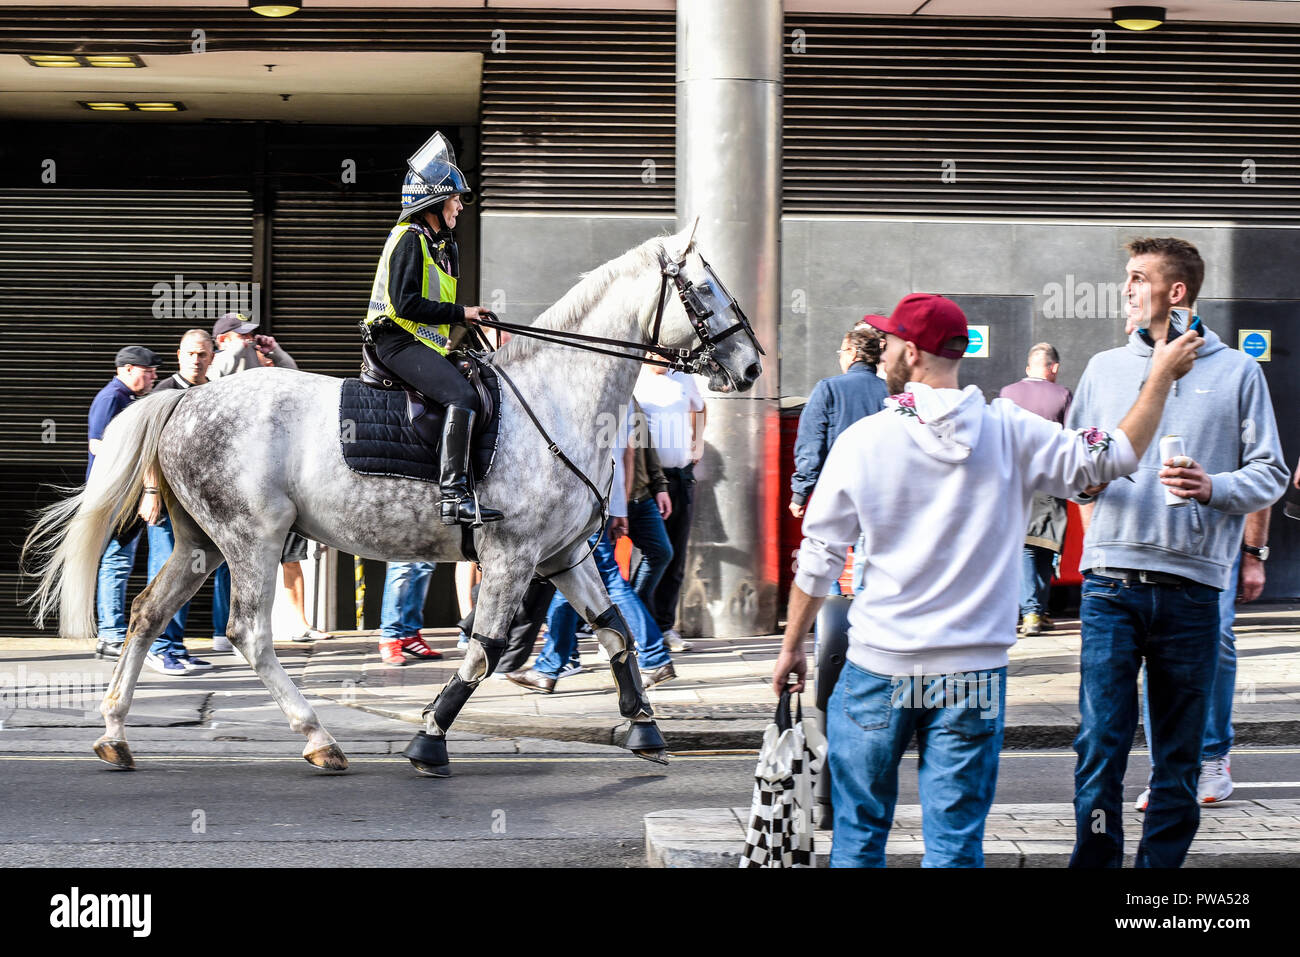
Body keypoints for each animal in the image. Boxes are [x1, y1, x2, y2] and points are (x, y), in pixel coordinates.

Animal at [25, 226, 764, 780]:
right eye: (704, 287)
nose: (753, 364)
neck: (555, 397)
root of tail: (183, 397)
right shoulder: (511, 554)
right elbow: (485, 648)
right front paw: (428, 738)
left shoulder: (561, 555)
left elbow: (614, 629)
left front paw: (645, 729)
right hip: (252, 538)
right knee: (247, 633)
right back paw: (318, 737)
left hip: (201, 542)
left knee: (149, 613)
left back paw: (117, 733)